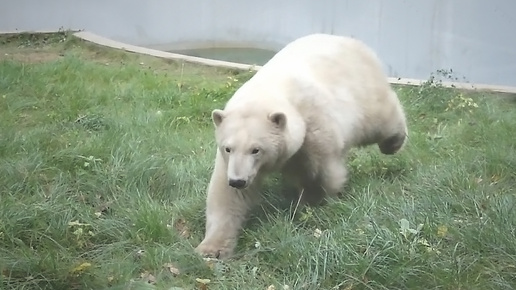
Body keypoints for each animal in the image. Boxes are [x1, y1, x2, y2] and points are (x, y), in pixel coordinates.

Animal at [196, 33, 410, 258]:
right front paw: (211, 248)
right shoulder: (230, 162)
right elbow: (226, 195)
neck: (269, 91)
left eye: (256, 149)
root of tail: (347, 40)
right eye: (228, 148)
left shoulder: (313, 125)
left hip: (362, 89)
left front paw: (312, 203)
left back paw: (393, 143)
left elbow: (319, 172)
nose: (238, 181)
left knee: (382, 119)